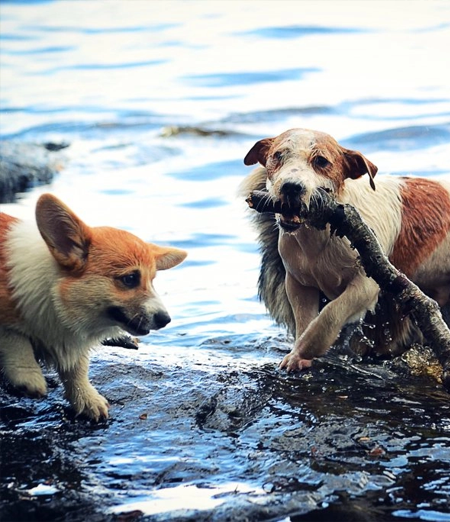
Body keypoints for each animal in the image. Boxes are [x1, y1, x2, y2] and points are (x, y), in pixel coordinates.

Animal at [0, 194, 186, 418]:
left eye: (152, 281)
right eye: (130, 279)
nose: (166, 320)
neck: (53, 289)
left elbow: (77, 369)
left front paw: (87, 399)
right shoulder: (9, 321)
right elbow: (14, 338)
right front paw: (28, 375)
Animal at [241, 126, 450, 370]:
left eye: (321, 161)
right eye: (277, 155)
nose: (291, 187)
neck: (318, 237)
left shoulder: (366, 287)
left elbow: (329, 315)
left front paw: (304, 351)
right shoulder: (299, 284)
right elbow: (306, 322)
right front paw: (298, 355)